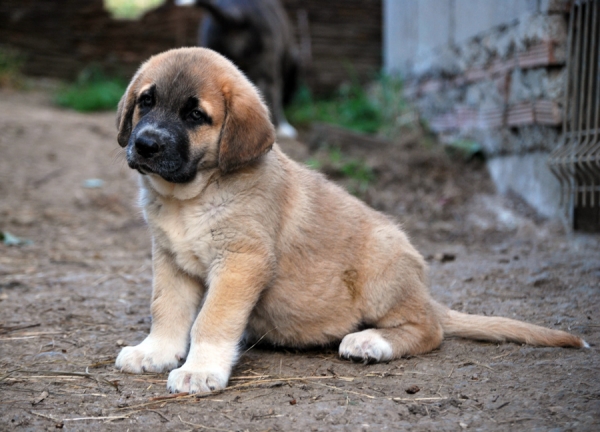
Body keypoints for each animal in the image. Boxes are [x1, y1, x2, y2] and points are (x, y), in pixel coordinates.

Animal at [115, 47, 588, 394]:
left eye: (196, 115)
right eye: (146, 101)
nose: (146, 144)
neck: (192, 197)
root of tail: (423, 291)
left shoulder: (240, 262)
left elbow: (211, 319)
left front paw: (200, 369)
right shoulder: (171, 261)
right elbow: (167, 311)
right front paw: (155, 352)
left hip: (382, 264)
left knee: (429, 328)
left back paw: (370, 341)